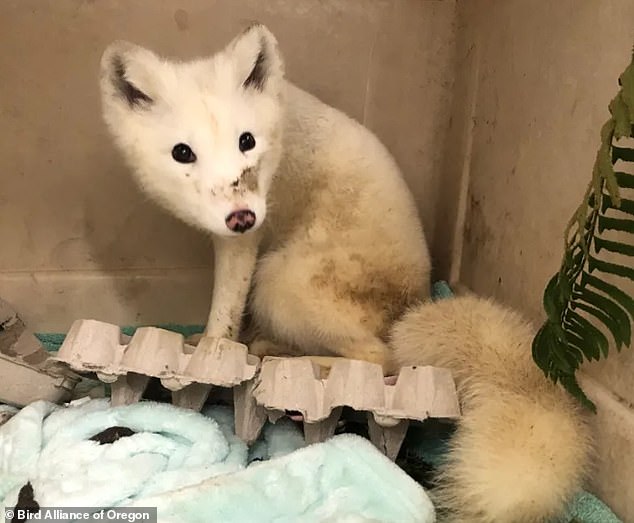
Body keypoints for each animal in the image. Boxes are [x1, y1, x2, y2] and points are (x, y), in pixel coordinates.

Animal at [99, 23, 432, 368]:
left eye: (247, 141)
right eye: (182, 152)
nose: (242, 218)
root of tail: (416, 298)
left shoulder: (242, 243)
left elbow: (224, 312)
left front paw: (210, 350)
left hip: (276, 284)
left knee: (381, 359)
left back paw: (284, 356)